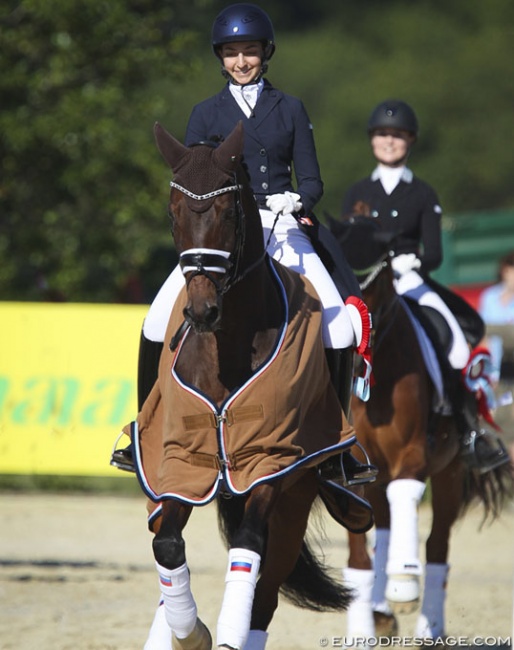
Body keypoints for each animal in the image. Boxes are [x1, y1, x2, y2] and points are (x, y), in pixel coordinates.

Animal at [125, 125, 370, 648]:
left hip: (296, 495)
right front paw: (189, 631)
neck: (228, 346)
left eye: (227, 211)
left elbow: (248, 550)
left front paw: (215, 633)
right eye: (173, 213)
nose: (201, 311)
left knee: (266, 591)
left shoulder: (270, 461)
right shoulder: (182, 462)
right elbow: (167, 546)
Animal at [326, 214, 510, 636]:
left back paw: (429, 626)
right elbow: (361, 550)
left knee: (437, 543)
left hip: (450, 473)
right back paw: (379, 613)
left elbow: (407, 495)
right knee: (384, 531)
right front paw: (364, 620)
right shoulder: (355, 469)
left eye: (374, 278)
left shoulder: (412, 456)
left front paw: (404, 583)